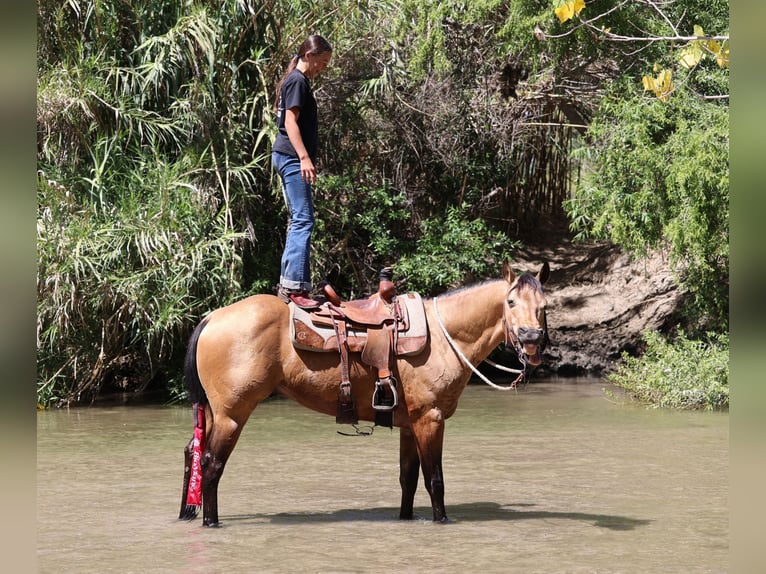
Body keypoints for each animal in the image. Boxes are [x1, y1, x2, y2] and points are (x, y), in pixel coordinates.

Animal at [178, 261, 550, 526]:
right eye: (510, 301)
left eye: (543, 305)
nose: (531, 338)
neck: (445, 337)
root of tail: (211, 318)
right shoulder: (430, 419)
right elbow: (435, 479)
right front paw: (442, 520)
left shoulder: (409, 424)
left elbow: (407, 478)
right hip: (232, 414)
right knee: (211, 463)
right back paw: (211, 522)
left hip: (213, 412)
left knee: (191, 453)